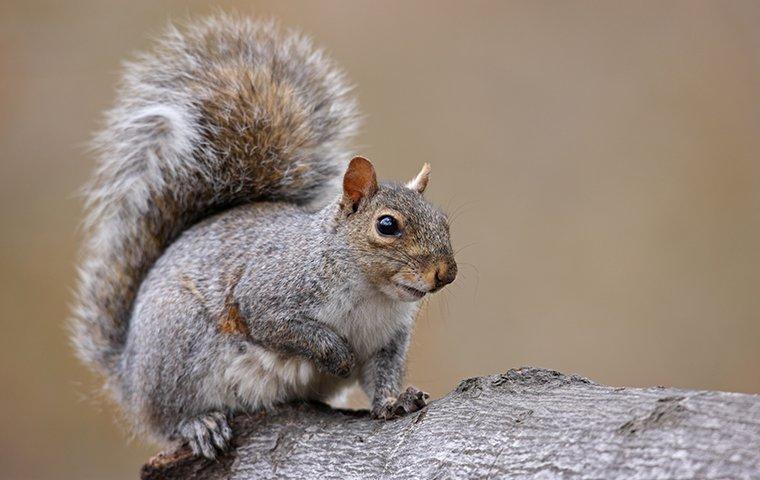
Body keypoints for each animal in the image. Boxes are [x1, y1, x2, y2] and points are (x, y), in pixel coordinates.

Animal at [71, 15, 456, 459]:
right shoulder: (268, 291)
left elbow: (382, 375)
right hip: (176, 343)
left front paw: (394, 401)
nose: (446, 273)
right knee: (166, 417)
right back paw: (198, 424)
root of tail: (128, 373)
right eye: (387, 225)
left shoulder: (387, 340)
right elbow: (277, 325)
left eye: (444, 220)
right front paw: (336, 354)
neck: (371, 293)